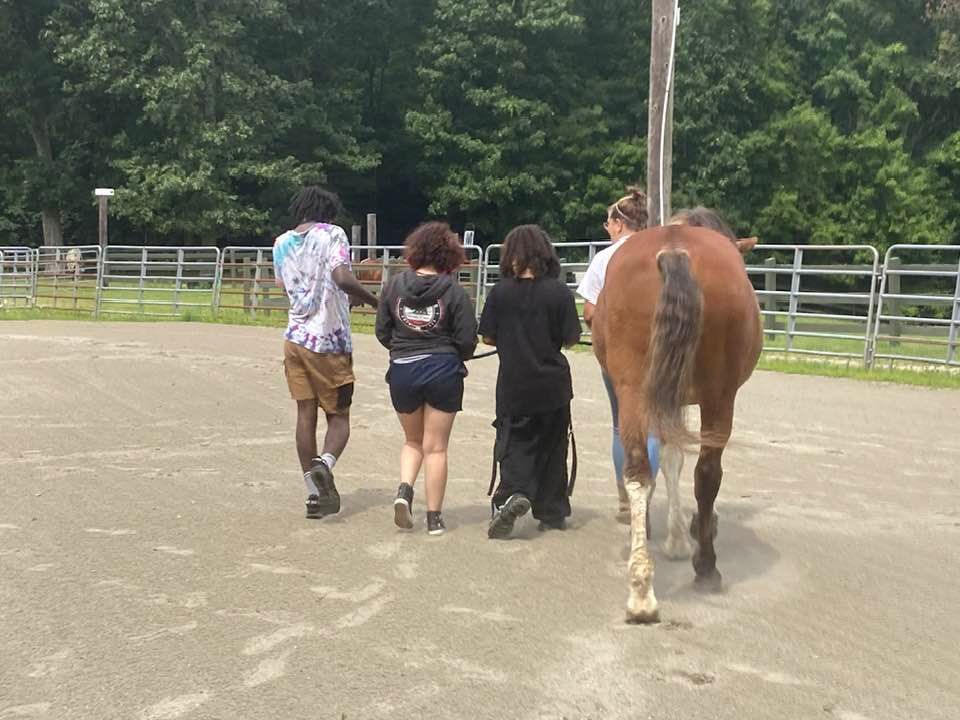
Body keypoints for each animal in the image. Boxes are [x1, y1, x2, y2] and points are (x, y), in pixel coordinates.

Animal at [592, 225, 764, 624]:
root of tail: (674, 247)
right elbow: (678, 462)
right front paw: (683, 538)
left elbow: (669, 460)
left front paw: (675, 538)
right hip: (719, 397)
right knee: (708, 474)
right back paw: (706, 567)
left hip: (635, 390)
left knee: (639, 471)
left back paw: (641, 592)